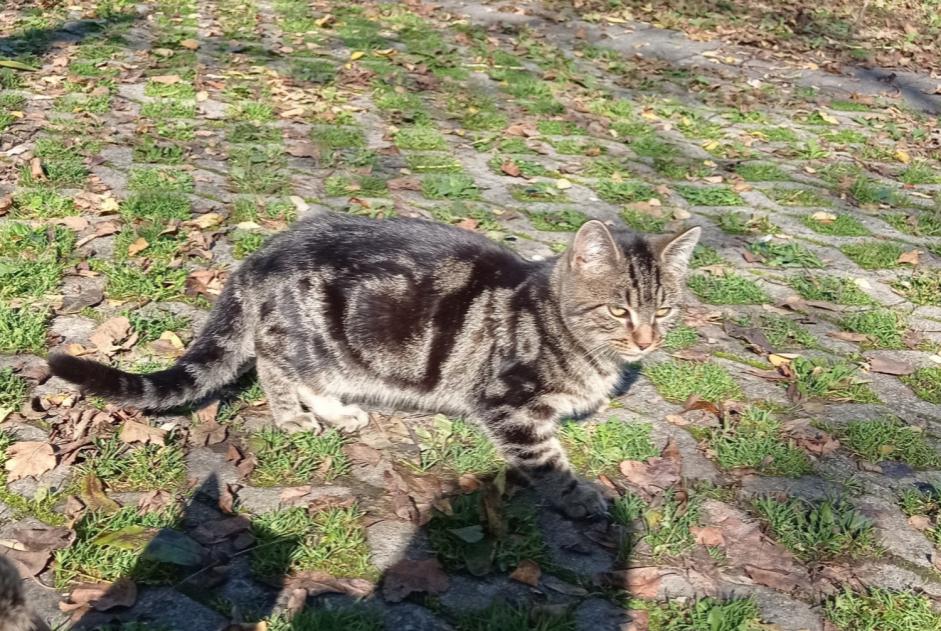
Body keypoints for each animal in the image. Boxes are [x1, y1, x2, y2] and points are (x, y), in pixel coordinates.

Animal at [49, 212, 696, 520]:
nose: (646, 341)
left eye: (663, 309)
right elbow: (548, 460)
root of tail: (264, 253)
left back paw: (337, 410)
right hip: (313, 335)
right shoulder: (508, 399)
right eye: (617, 309)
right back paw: (296, 415)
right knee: (273, 361)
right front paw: (580, 497)